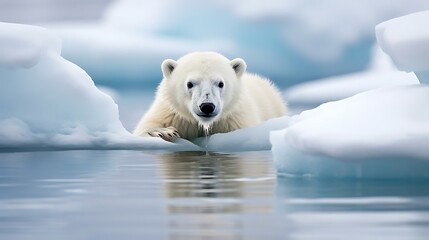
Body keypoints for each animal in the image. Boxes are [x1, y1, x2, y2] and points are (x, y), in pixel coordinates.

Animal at [133, 51, 288, 141]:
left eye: (220, 83)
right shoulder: (172, 112)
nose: (207, 106)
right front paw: (163, 131)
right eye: (190, 84)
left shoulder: (234, 119)